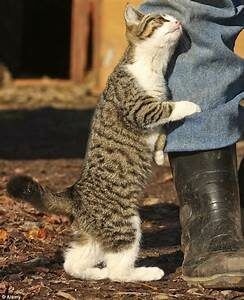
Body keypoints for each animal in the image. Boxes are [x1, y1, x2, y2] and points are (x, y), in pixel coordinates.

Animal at [6, 4, 201, 282]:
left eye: (170, 17)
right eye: (160, 20)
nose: (177, 21)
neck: (152, 67)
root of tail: (75, 194)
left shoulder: (153, 118)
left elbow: (162, 130)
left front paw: (159, 154)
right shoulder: (139, 108)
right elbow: (168, 108)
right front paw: (191, 106)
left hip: (94, 237)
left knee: (73, 263)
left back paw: (95, 273)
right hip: (126, 224)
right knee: (119, 270)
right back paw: (144, 273)